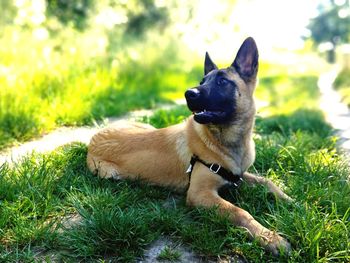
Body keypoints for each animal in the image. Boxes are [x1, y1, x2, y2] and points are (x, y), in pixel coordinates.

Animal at [87, 37, 292, 256]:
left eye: (222, 82)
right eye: (202, 82)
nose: (188, 93)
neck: (224, 141)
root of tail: (94, 138)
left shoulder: (238, 175)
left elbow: (267, 182)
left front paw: (293, 202)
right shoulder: (199, 194)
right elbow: (239, 212)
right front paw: (270, 238)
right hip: (111, 174)